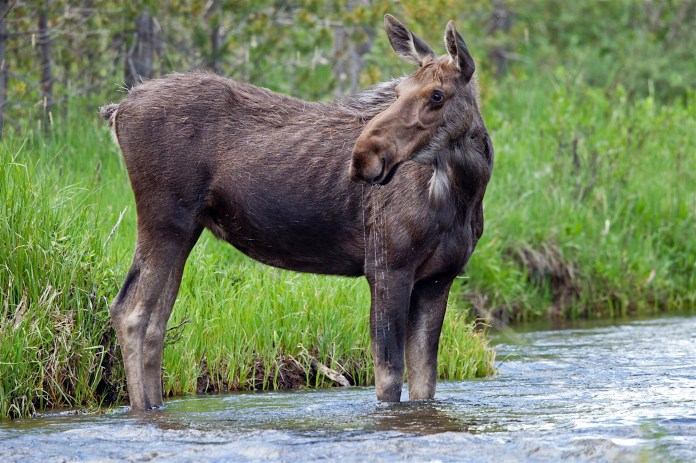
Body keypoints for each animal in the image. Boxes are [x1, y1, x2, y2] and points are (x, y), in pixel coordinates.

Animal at [100, 14, 493, 411]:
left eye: (437, 95)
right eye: (397, 91)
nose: (363, 156)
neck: (465, 193)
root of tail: (118, 110)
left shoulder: (439, 278)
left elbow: (425, 382)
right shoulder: (387, 266)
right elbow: (388, 377)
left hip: (185, 228)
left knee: (154, 322)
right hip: (164, 219)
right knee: (130, 311)